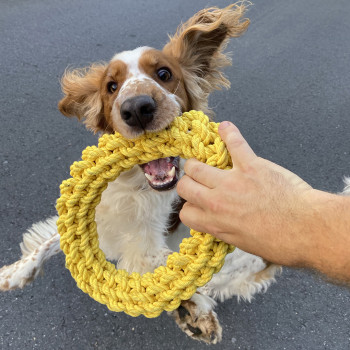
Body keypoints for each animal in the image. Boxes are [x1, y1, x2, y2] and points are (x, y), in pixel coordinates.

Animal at [0, 4, 282, 344]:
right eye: (111, 87)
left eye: (164, 74)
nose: (136, 108)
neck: (137, 190)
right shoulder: (97, 222)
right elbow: (48, 243)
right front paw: (13, 273)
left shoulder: (150, 248)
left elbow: (167, 271)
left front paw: (194, 309)